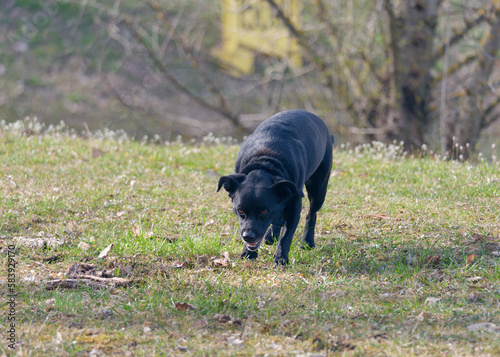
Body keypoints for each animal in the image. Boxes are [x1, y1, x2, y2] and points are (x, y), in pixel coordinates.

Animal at [217, 109, 334, 264]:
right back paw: (271, 236)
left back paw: (307, 241)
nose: (248, 236)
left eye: (264, 211)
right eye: (240, 210)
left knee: (311, 213)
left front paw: (281, 258)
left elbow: (286, 236)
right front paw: (248, 253)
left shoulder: (294, 208)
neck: (264, 163)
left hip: (318, 188)